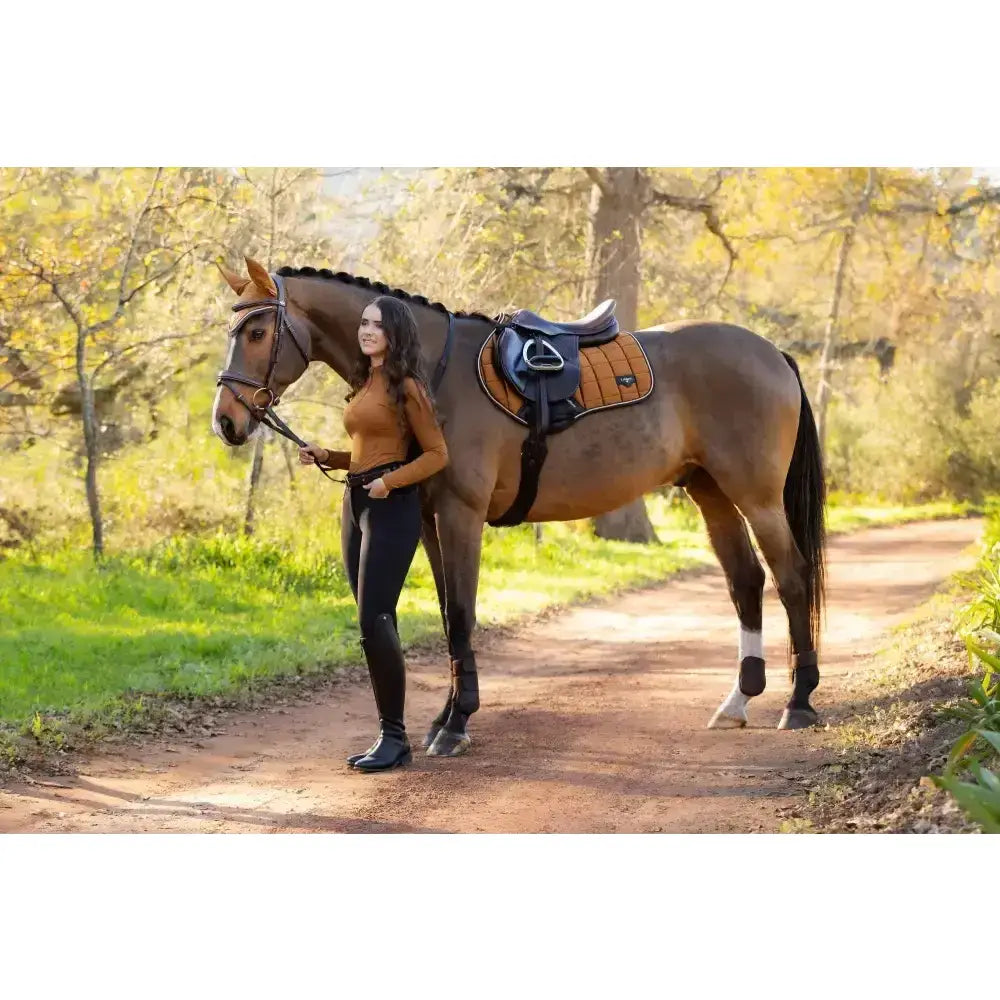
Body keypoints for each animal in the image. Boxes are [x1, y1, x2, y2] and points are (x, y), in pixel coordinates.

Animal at [211, 256, 826, 758]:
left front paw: (456, 724)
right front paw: (444, 717)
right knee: (746, 581)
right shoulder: (429, 520)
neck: (431, 371)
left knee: (791, 579)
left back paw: (798, 702)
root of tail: (771, 353)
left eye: (258, 331)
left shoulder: (461, 514)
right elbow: (447, 616)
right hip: (710, 491)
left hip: (757, 498)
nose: (226, 421)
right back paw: (739, 701)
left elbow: (462, 613)